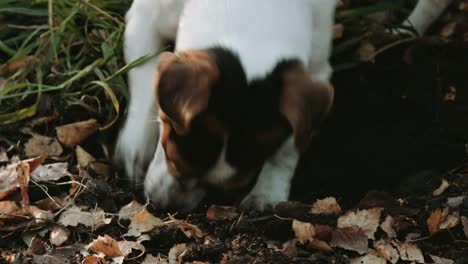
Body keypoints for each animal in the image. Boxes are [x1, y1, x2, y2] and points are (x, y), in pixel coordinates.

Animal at [115, 0, 456, 211]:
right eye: (170, 153)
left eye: (232, 184)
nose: (166, 207)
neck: (253, 14)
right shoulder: (144, 19)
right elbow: (144, 77)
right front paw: (135, 146)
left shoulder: (316, 73)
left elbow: (289, 145)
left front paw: (267, 191)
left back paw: (408, 30)